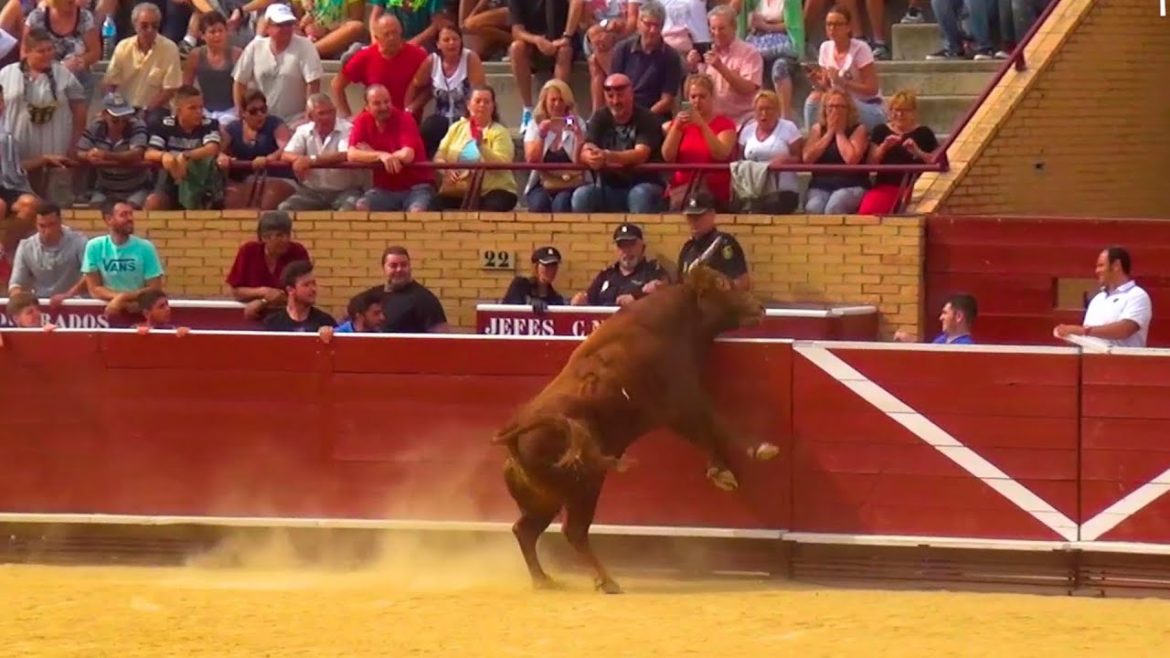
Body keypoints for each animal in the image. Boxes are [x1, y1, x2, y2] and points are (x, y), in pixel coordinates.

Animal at [491, 263, 776, 592]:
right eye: (722, 283)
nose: (760, 307)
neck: (673, 321)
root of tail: (515, 437)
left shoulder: (675, 411)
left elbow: (705, 433)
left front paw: (721, 472)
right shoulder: (682, 399)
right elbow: (717, 423)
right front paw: (759, 450)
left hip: (543, 501)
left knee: (524, 530)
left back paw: (544, 580)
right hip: (584, 486)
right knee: (573, 531)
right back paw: (606, 581)